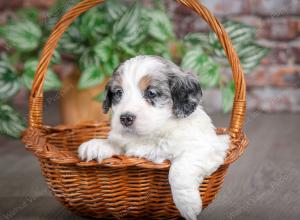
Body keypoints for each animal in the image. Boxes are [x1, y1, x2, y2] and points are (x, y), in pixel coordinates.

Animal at [78, 55, 230, 220]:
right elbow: (116, 144)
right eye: (119, 92)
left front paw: (188, 205)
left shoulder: (211, 146)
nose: (125, 118)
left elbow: (179, 169)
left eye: (151, 93)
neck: (152, 134)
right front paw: (96, 145)